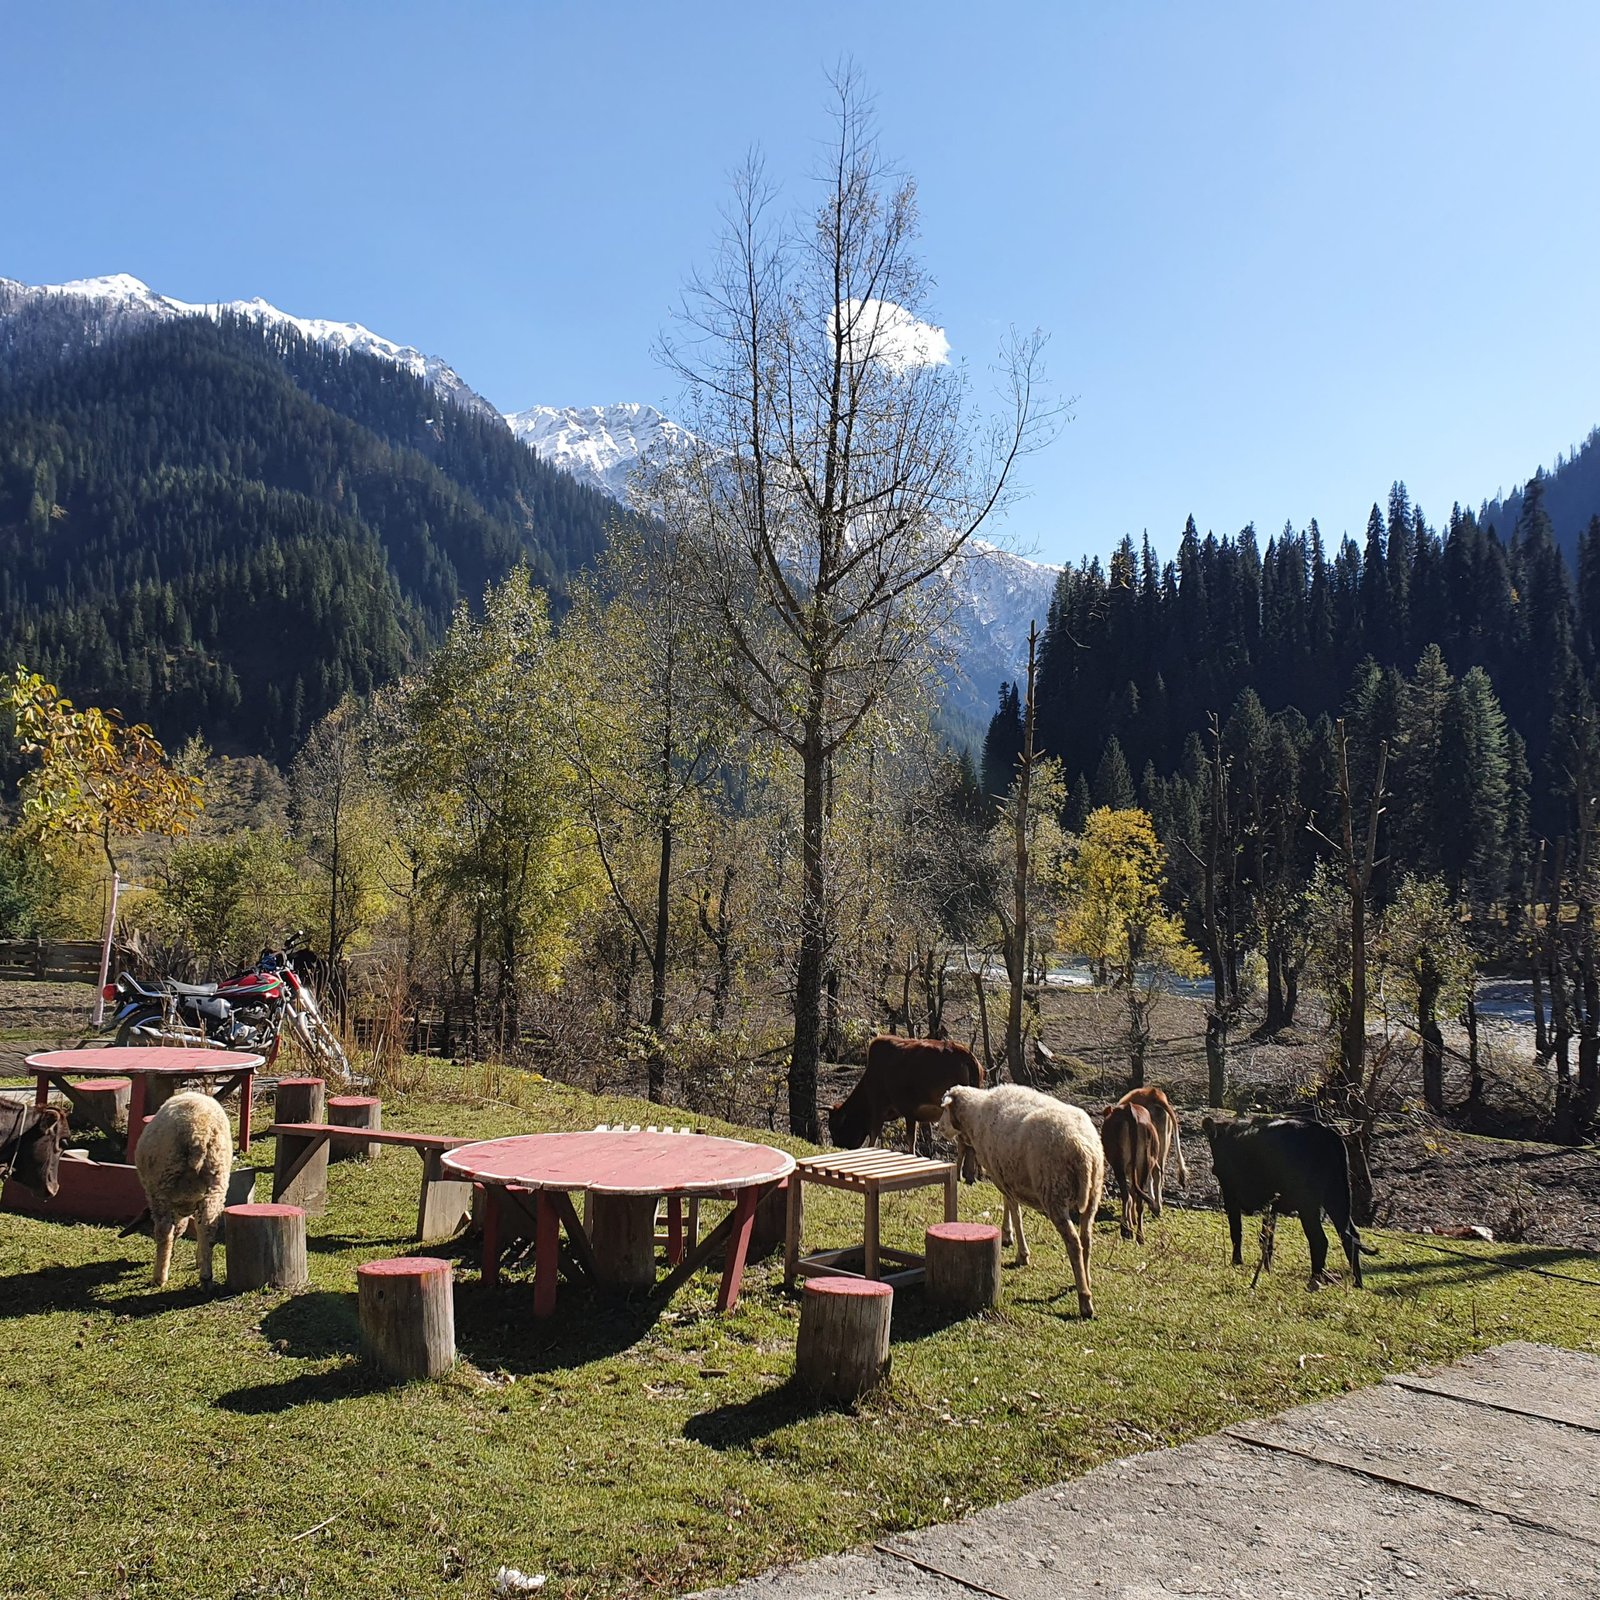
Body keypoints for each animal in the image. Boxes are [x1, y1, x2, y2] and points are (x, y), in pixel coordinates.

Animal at [136, 1088, 233, 1286]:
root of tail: (198, 1131)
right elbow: (196, 1225)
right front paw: (199, 1259)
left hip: (162, 1185)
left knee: (164, 1230)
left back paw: (159, 1277)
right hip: (217, 1179)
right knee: (208, 1225)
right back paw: (206, 1274)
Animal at [940, 1081, 1107, 1318]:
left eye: (944, 1109)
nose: (938, 1128)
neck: (975, 1115)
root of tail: (1083, 1150)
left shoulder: (1002, 1177)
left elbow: (1015, 1212)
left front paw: (1021, 1253)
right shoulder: (1005, 1174)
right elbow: (1008, 1205)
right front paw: (1007, 1235)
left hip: (1054, 1193)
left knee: (1074, 1243)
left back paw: (1084, 1300)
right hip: (1093, 1194)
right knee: (1086, 1239)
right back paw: (1083, 1279)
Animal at [1094, 1107, 1158, 1241]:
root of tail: (1130, 1110)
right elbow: (1133, 1191)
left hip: (1119, 1164)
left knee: (1125, 1195)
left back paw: (1126, 1229)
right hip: (1144, 1164)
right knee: (1139, 1199)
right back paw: (1140, 1236)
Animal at [1203, 1120, 1369, 1292]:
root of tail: (1328, 1134)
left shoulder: (1231, 1193)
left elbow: (1237, 1231)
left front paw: (1237, 1262)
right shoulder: (1271, 1205)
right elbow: (1267, 1238)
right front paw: (1267, 1269)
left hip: (1309, 1204)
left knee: (1320, 1240)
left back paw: (1314, 1280)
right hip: (1337, 1199)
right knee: (1351, 1236)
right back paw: (1357, 1283)